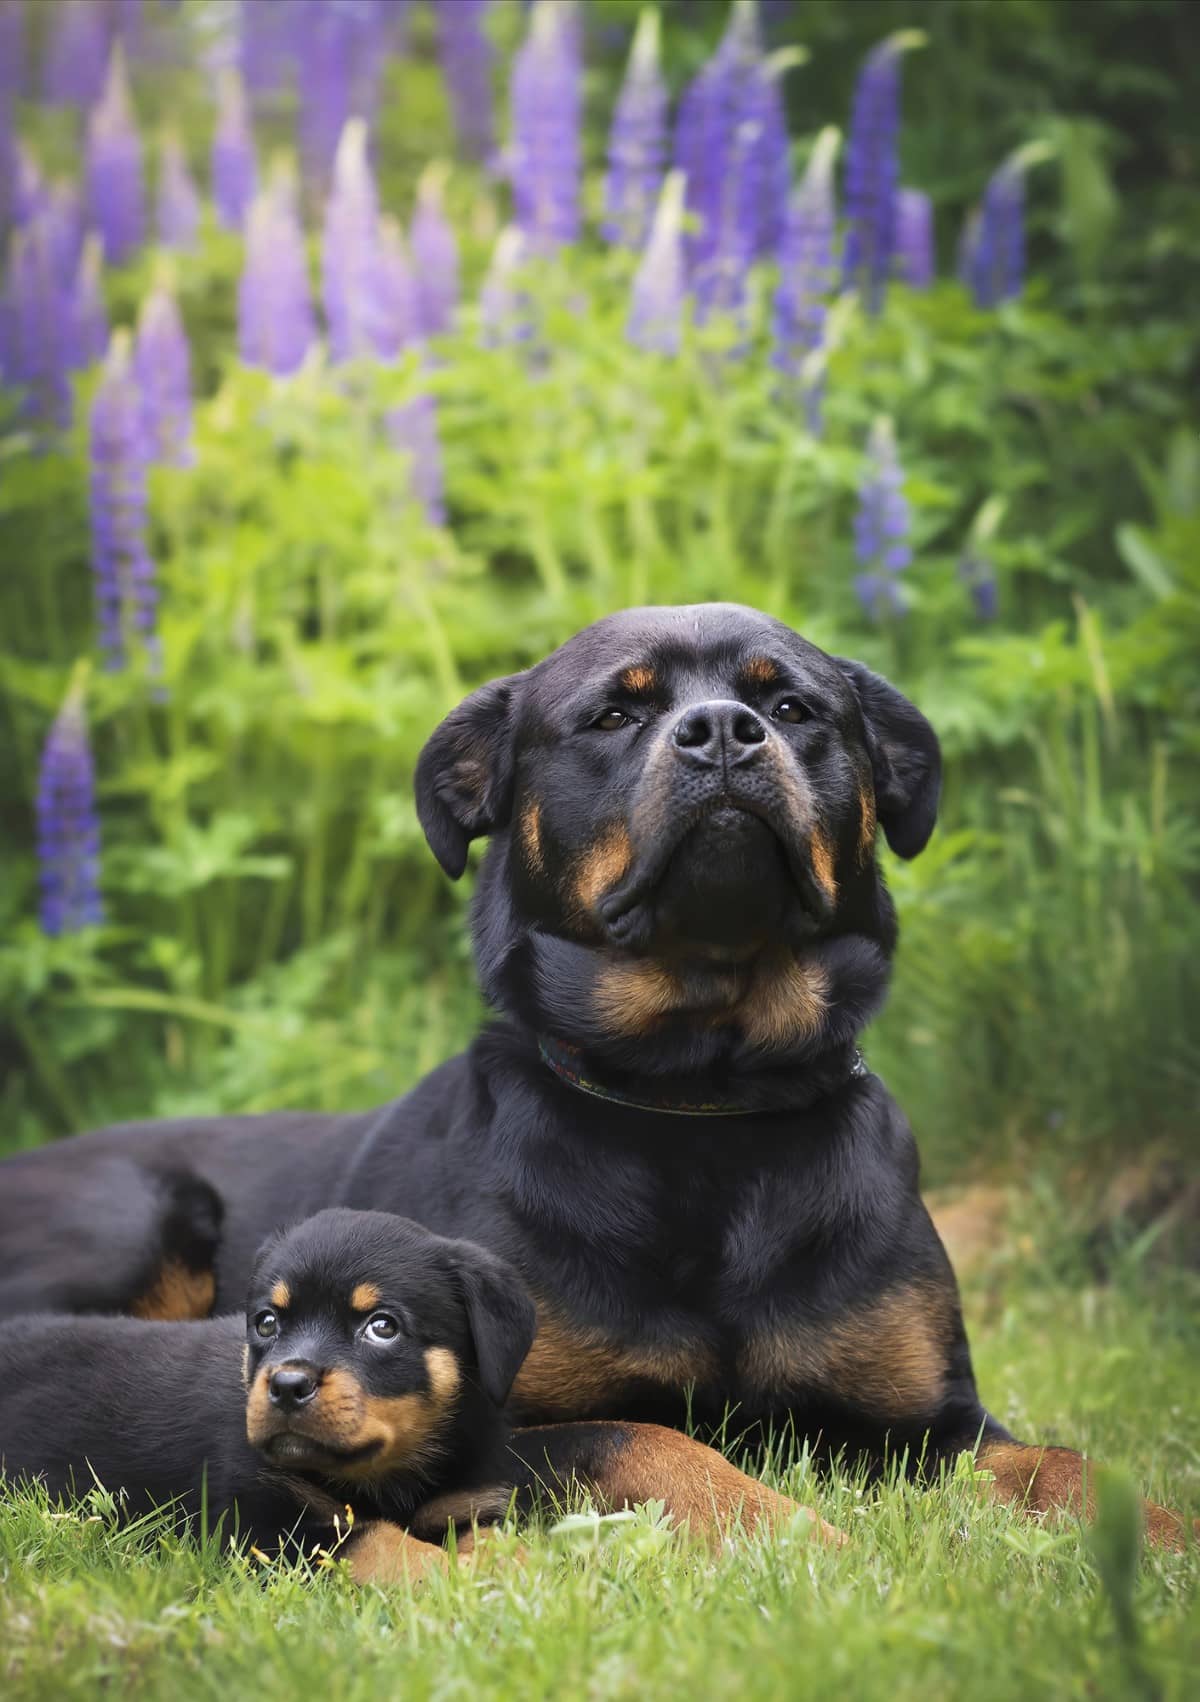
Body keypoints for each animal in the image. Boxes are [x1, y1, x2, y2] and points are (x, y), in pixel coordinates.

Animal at [0, 1211, 537, 1579]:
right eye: (266, 1323)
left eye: (383, 1327)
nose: (287, 1386)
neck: (389, 1477)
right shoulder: (263, 1526)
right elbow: (381, 1541)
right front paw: (458, 1579)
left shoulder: (471, 1504)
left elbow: (503, 1542)